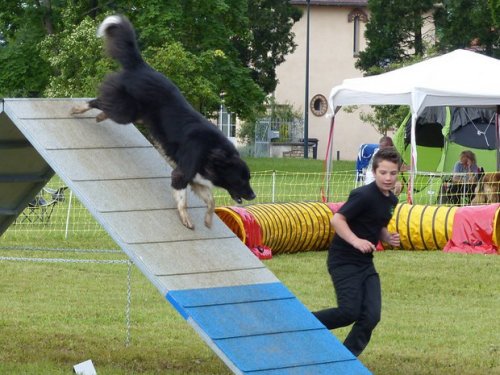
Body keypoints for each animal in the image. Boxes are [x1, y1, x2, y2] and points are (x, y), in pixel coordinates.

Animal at [72, 14, 256, 229]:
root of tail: (142, 65)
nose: (253, 195)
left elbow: (211, 200)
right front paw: (186, 219)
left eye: (248, 178)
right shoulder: (182, 173)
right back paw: (79, 108)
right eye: (241, 180)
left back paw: (99, 116)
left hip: (135, 114)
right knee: (100, 101)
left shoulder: (196, 178)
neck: (213, 152)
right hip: (125, 110)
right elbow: (183, 200)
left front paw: (209, 220)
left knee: (107, 106)